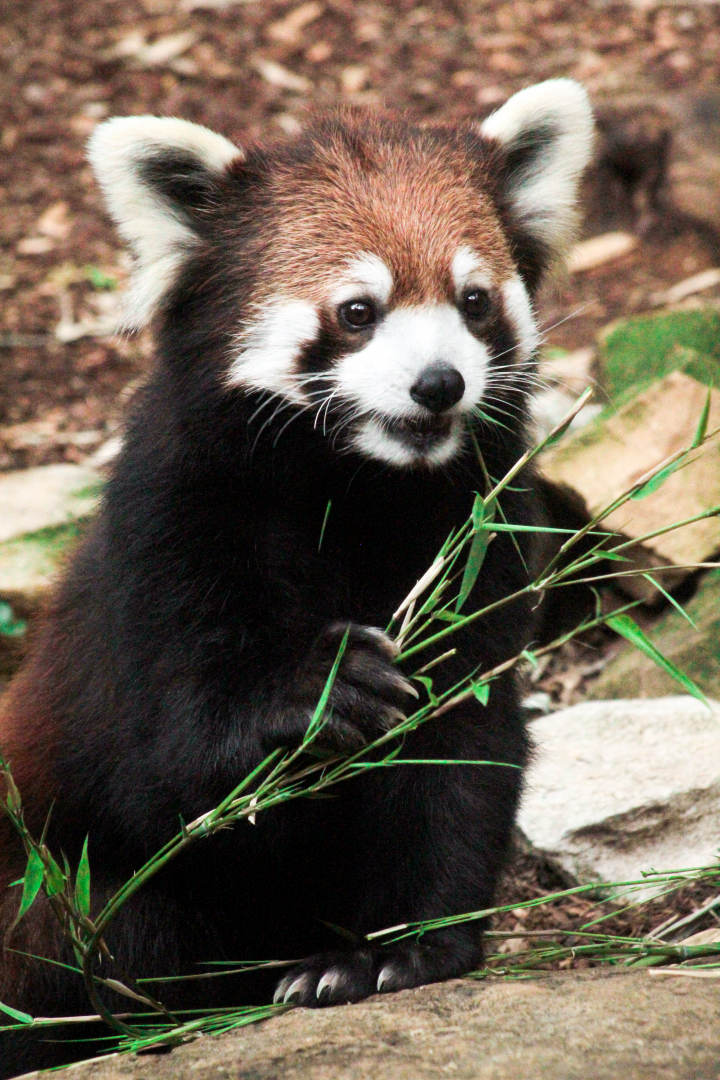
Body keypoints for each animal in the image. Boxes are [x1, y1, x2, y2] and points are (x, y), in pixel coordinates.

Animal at [0, 80, 593, 1076]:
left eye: (474, 301)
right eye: (358, 311)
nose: (439, 383)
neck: (353, 485)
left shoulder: (478, 539)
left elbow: (458, 752)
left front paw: (398, 953)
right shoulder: (172, 531)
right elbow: (164, 764)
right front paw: (320, 688)